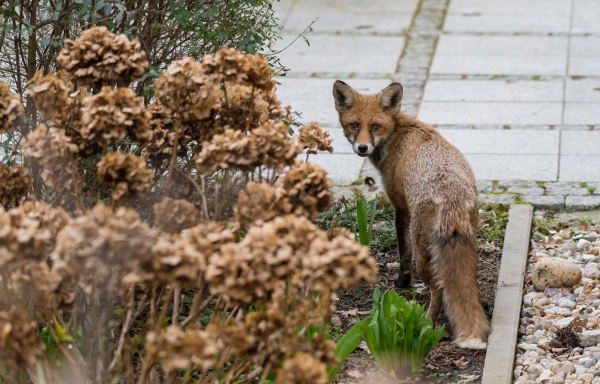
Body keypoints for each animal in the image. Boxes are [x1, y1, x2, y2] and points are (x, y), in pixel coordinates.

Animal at [332, 80, 492, 348]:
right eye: (354, 125)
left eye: (375, 126)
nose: (362, 147)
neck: (398, 133)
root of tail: (452, 196)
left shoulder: (400, 207)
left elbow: (402, 253)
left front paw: (402, 284)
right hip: (468, 240)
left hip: (422, 252)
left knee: (438, 288)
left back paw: (428, 322)